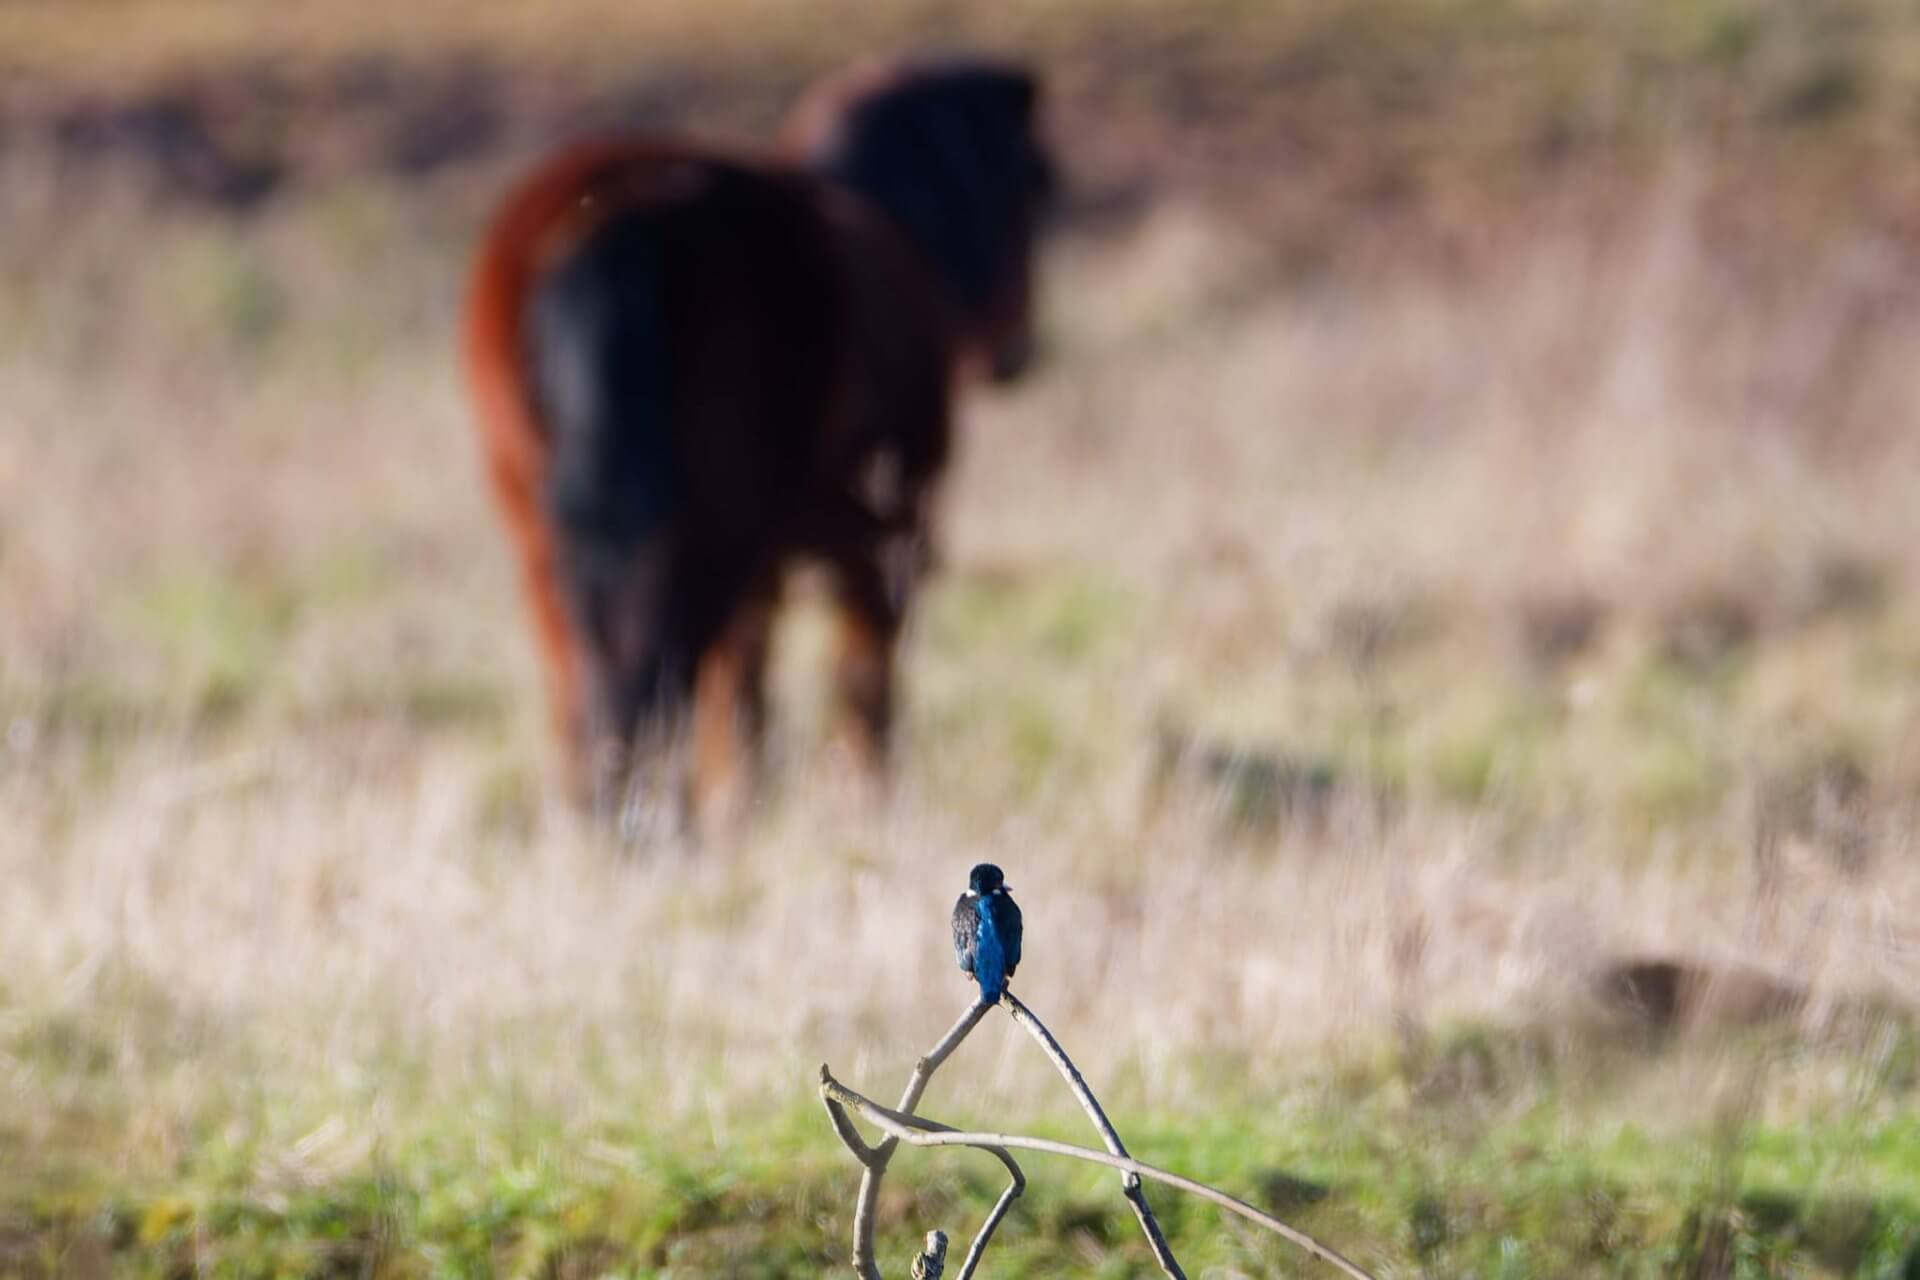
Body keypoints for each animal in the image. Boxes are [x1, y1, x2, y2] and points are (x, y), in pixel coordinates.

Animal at [461, 56, 1055, 832]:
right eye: (1039, 180)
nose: (1018, 355)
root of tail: (619, 205)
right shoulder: (888, 543)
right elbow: (861, 690)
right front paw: (867, 808)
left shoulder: (774, 572)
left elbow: (748, 698)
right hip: (718, 539)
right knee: (665, 672)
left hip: (545, 534)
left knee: (585, 676)